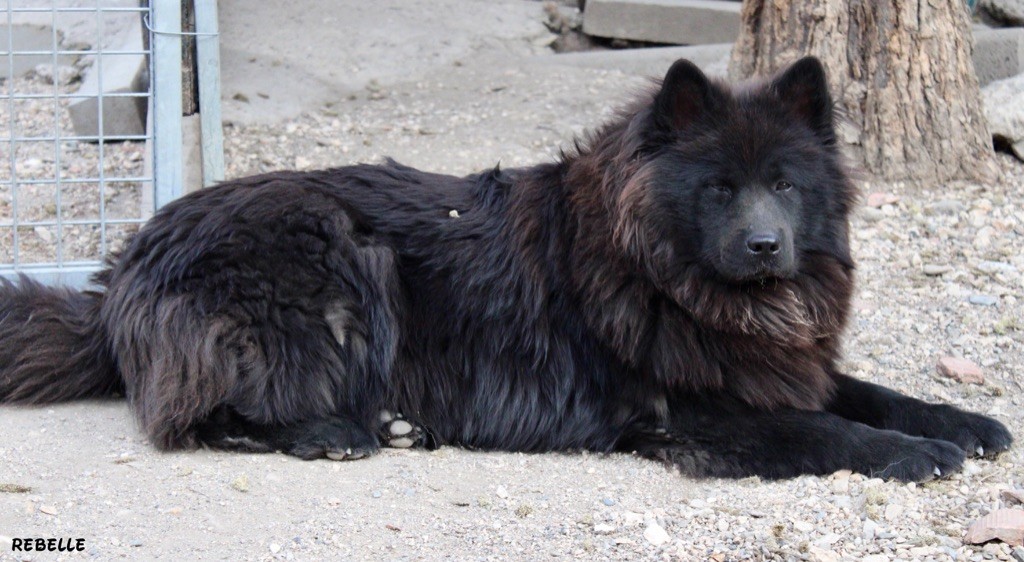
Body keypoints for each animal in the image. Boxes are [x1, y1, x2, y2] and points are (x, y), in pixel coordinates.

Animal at [0, 55, 1007, 477]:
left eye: (785, 186)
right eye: (720, 188)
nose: (766, 247)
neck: (660, 275)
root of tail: (122, 271)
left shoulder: (773, 368)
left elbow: (869, 392)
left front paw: (963, 422)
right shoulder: (696, 408)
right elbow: (828, 429)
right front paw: (917, 454)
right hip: (339, 259)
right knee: (200, 409)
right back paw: (330, 433)